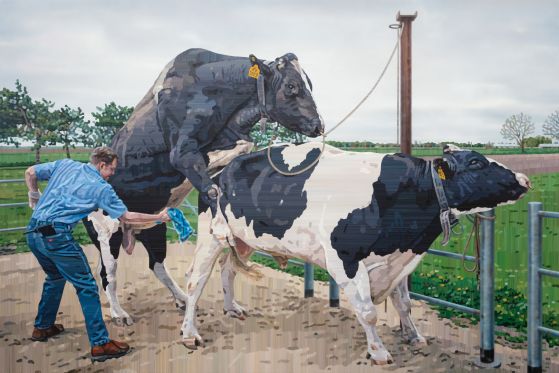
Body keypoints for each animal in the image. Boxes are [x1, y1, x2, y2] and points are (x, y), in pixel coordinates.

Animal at [83, 48, 324, 324]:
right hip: (105, 231)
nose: (319, 124)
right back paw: (118, 313)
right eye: (292, 86)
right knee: (107, 272)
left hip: (153, 227)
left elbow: (244, 145)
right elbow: (211, 177)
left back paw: (180, 299)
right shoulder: (182, 154)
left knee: (155, 265)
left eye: (309, 84)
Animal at [182, 142, 532, 364]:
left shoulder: (397, 258)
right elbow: (368, 312)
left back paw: (232, 308)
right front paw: (378, 352)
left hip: (242, 240)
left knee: (228, 269)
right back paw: (189, 334)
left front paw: (414, 336)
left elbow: (404, 304)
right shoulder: (344, 258)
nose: (525, 179)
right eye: (476, 163)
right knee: (195, 282)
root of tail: (221, 168)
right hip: (210, 235)